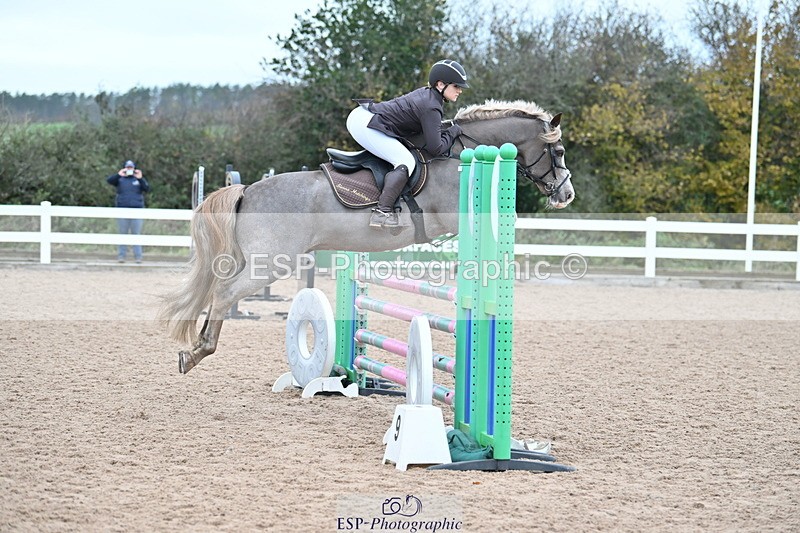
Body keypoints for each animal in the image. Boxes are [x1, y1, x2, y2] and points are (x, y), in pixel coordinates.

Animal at [159, 99, 575, 373]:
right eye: (557, 151)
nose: (566, 195)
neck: (463, 152)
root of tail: (246, 191)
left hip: (254, 259)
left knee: (218, 288)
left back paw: (193, 347)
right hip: (271, 263)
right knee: (225, 292)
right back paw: (197, 352)